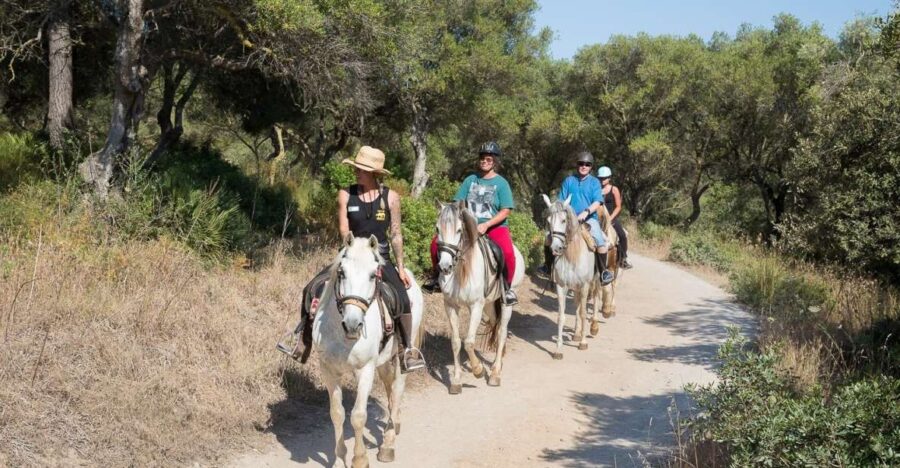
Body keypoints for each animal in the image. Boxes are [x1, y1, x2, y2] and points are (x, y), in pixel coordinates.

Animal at [312, 234, 424, 467]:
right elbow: (337, 413)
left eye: (373, 275)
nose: (353, 325)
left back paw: (388, 445)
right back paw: (394, 422)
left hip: (401, 356)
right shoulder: (328, 369)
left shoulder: (365, 369)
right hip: (383, 360)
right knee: (390, 386)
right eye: (342, 272)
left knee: (398, 389)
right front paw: (339, 460)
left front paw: (360, 459)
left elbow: (358, 416)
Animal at [435, 201, 525, 394]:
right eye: (437, 228)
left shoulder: (475, 306)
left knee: (502, 331)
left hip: (505, 303)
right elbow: (456, 342)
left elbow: (469, 342)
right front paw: (456, 381)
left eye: (459, 230)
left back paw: (495, 373)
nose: (445, 266)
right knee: (494, 324)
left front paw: (478, 370)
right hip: (489, 304)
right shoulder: (450, 305)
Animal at [541, 194, 597, 359]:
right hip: (575, 288)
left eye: (563, 220)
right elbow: (562, 316)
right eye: (548, 221)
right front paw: (558, 350)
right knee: (577, 305)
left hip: (594, 283)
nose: (555, 248)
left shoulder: (585, 285)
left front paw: (583, 343)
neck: (572, 255)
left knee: (594, 301)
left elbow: (584, 313)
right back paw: (577, 333)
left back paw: (593, 327)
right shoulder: (562, 286)